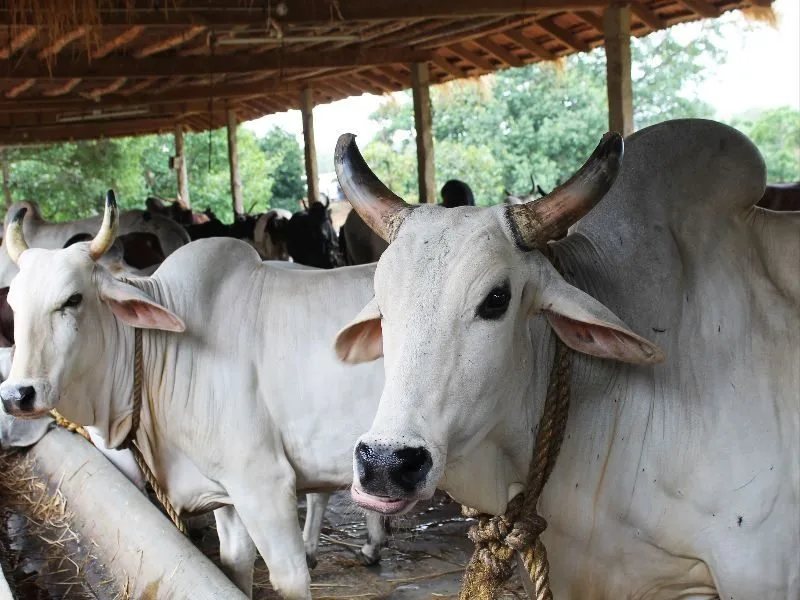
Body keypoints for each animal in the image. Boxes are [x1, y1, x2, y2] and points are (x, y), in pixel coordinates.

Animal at [0, 194, 388, 599]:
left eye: (73, 299)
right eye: (13, 304)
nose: (17, 395)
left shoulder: (264, 482)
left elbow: (289, 578)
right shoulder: (226, 491)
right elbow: (235, 563)